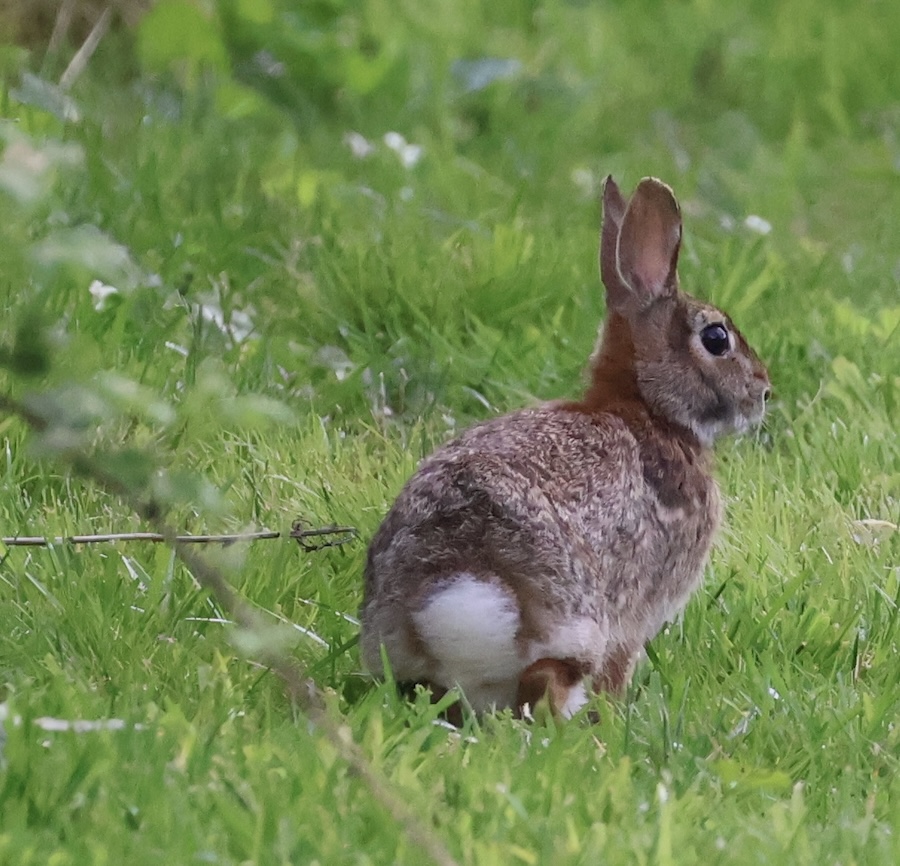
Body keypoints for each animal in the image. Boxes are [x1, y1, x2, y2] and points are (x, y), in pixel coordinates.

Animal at [360, 176, 770, 719]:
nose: (764, 393)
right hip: (577, 626)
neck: (646, 406)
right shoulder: (633, 618)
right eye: (717, 338)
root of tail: (444, 592)